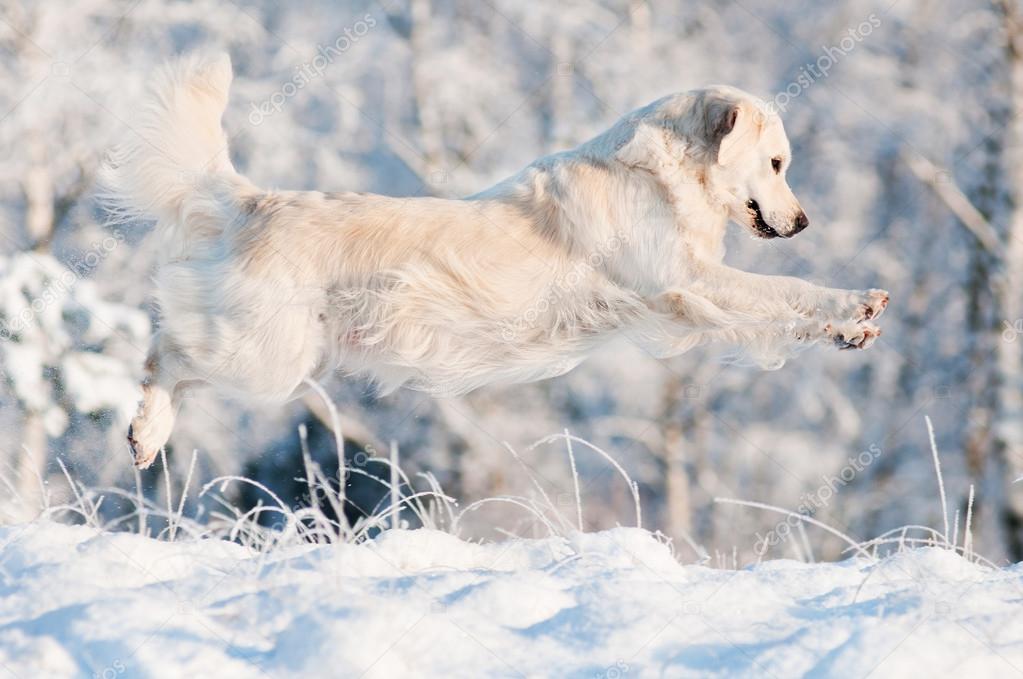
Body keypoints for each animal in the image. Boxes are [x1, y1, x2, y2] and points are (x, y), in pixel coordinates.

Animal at [101, 53, 887, 470]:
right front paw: (852, 305)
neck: (662, 176)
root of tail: (250, 199)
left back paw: (147, 438)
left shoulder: (692, 300)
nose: (802, 221)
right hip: (264, 355)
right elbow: (783, 289)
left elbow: (776, 313)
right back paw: (144, 429)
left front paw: (849, 330)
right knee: (164, 348)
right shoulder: (683, 283)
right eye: (778, 162)